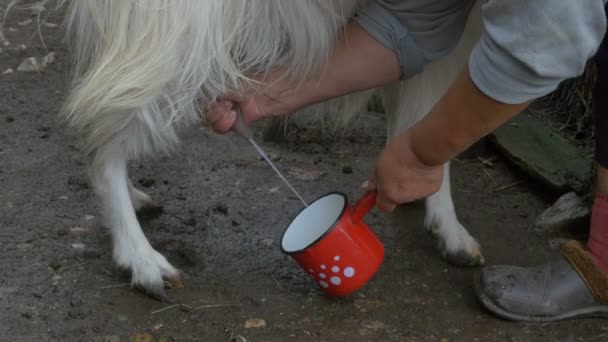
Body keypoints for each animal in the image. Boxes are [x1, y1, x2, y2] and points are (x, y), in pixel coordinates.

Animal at [55, 0, 484, 298]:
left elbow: (416, 110)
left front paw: (418, 198)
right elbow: (434, 117)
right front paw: (448, 226)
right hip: (173, 29)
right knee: (102, 119)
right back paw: (141, 258)